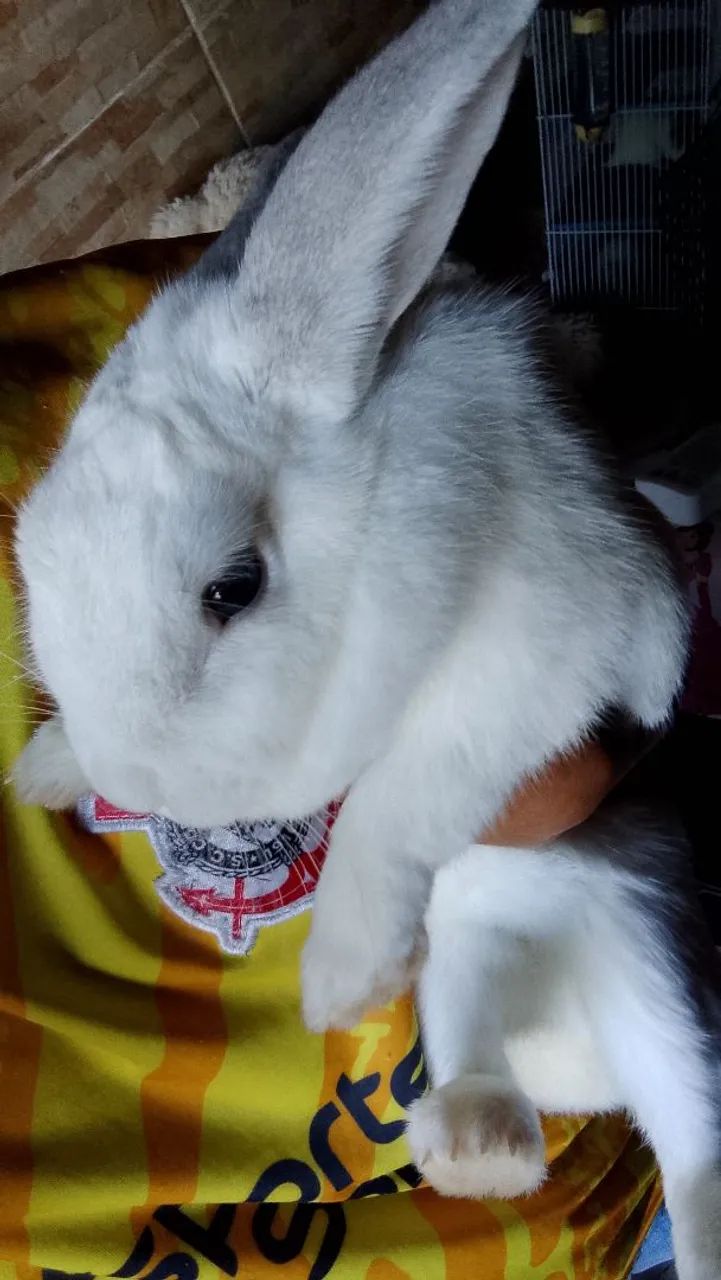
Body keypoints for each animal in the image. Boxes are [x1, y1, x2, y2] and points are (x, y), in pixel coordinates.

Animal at [11, 0, 721, 1273]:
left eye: (233, 588)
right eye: (33, 559)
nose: (143, 774)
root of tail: (576, 1068)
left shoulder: (555, 644)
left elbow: (408, 783)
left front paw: (338, 978)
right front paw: (49, 766)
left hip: (649, 963)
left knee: (694, 1135)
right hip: (473, 961)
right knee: (483, 1050)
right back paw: (476, 1140)